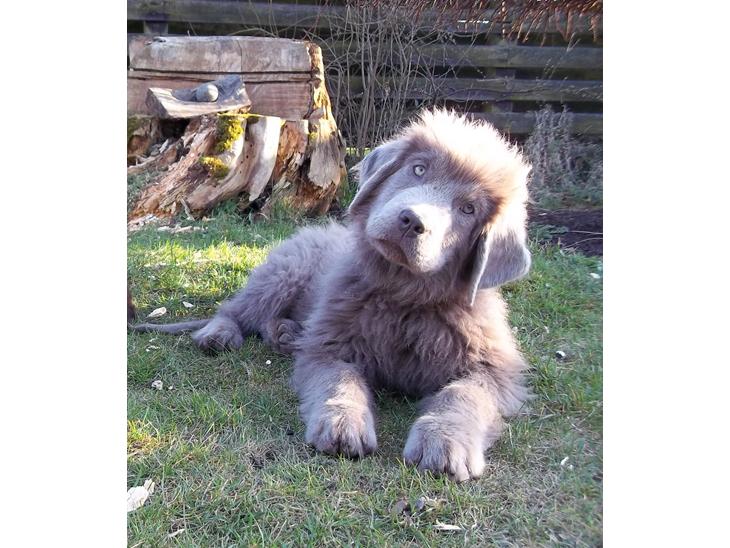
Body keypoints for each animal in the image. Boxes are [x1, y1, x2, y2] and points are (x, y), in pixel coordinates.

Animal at [133, 109, 532, 481]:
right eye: (418, 169)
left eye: (468, 209)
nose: (412, 220)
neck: (403, 297)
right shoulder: (331, 346)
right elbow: (341, 380)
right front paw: (341, 426)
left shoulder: (493, 370)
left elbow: (462, 395)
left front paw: (446, 444)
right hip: (283, 273)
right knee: (236, 309)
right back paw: (220, 335)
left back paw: (286, 334)